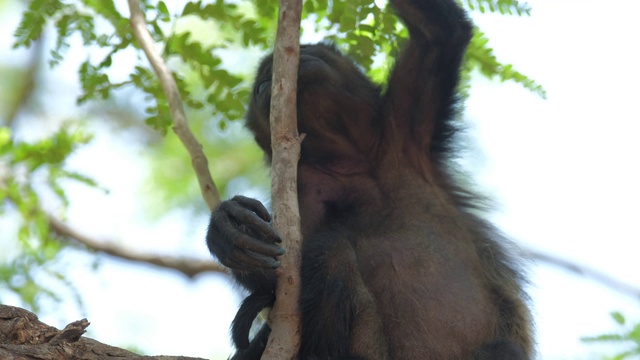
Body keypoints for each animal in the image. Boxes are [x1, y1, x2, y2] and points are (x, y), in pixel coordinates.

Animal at [208, 0, 532, 358]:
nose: (269, 73)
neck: (350, 167)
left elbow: (440, 33)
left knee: (502, 349)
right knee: (331, 251)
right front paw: (228, 229)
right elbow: (279, 283)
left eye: (308, 49)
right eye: (260, 86)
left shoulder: (405, 132)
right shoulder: (303, 197)